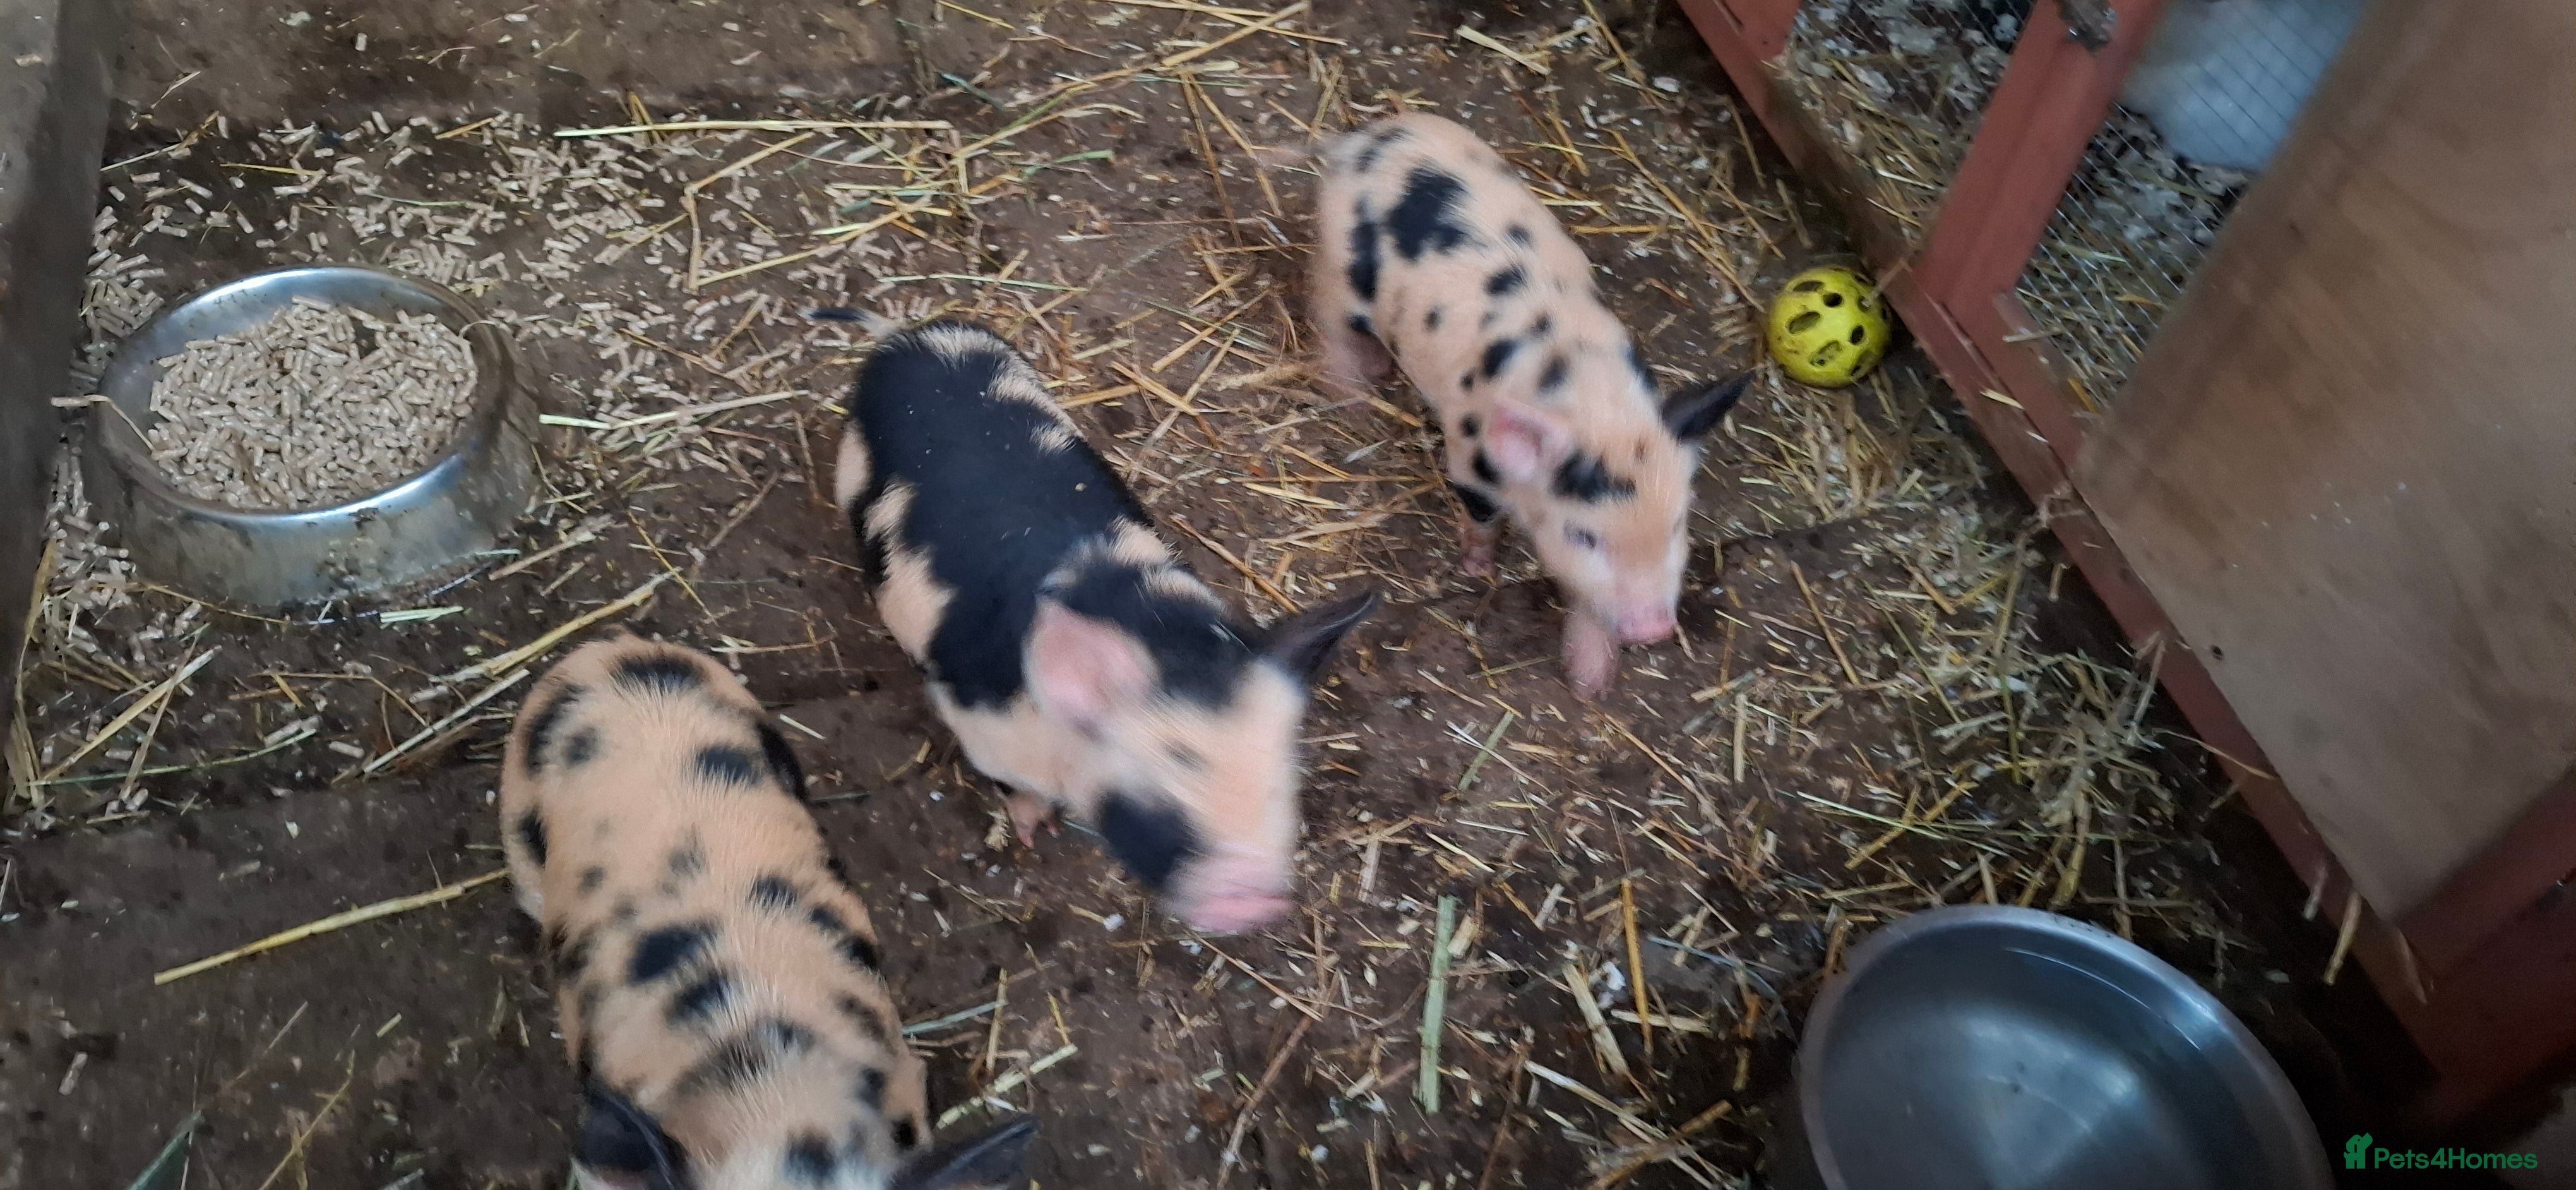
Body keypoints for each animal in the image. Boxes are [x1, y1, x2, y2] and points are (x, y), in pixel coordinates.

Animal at [831, 318, 1378, 935]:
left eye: (1281, 780)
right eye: (1168, 786)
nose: (1256, 899)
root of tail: (916, 333)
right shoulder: (978, 720)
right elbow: (1012, 783)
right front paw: (1034, 830)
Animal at [1307, 113, 1751, 699]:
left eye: (1678, 523)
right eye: (1584, 535)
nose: (1654, 630)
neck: (1597, 406)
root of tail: (1361, 140)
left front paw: (1590, 685)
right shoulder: (1469, 458)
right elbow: (1481, 517)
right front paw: (1478, 569)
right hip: (1339, 268)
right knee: (1328, 319)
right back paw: (1353, 396)